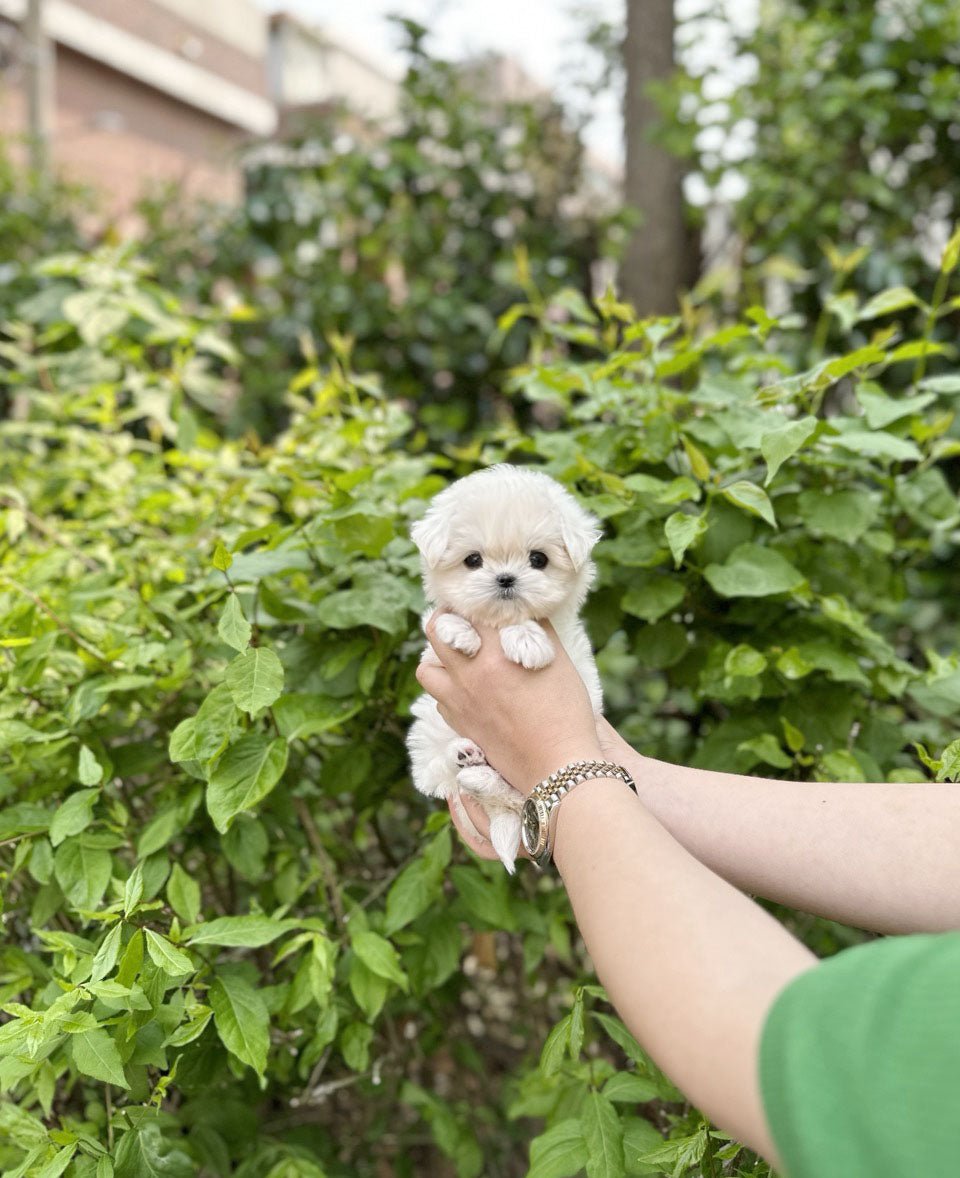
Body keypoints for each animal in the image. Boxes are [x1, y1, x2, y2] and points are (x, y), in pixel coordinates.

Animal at [407, 464, 603, 871]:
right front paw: (460, 631)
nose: (506, 579)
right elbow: (444, 620)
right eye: (473, 560)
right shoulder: (432, 658)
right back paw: (466, 757)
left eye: (539, 559)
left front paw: (527, 640)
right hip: (428, 731)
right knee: (440, 773)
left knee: (512, 796)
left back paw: (478, 773)